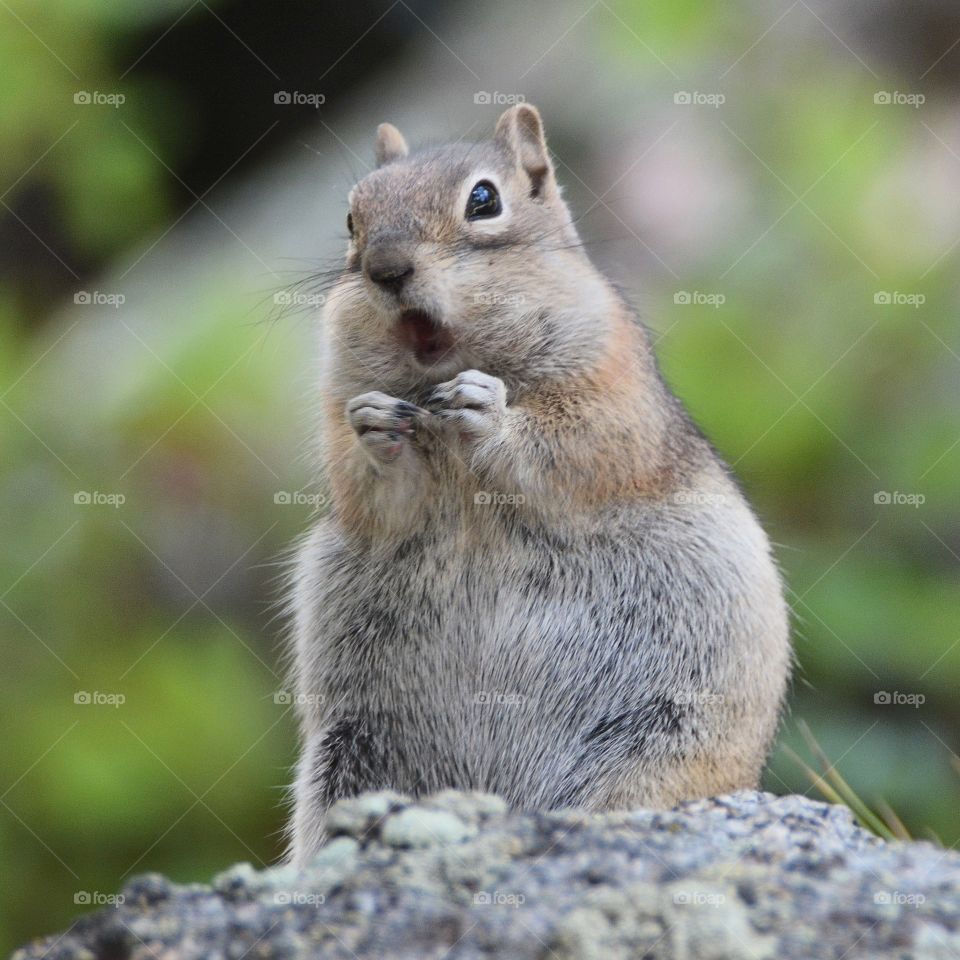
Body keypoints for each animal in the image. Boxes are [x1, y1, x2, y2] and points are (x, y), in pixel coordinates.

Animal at [286, 104, 791, 865]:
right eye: (351, 218)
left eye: (484, 200)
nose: (384, 268)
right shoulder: (333, 414)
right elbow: (371, 495)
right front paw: (377, 427)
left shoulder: (610, 388)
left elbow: (571, 444)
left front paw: (488, 410)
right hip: (347, 764)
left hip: (661, 749)